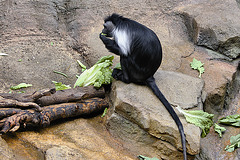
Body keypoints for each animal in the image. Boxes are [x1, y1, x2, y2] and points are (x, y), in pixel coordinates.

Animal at [99, 13, 188, 160]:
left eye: (105, 26)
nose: (103, 30)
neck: (120, 23)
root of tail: (149, 76)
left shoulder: (120, 34)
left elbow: (122, 51)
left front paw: (103, 38)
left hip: (135, 70)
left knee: (125, 56)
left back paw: (123, 77)